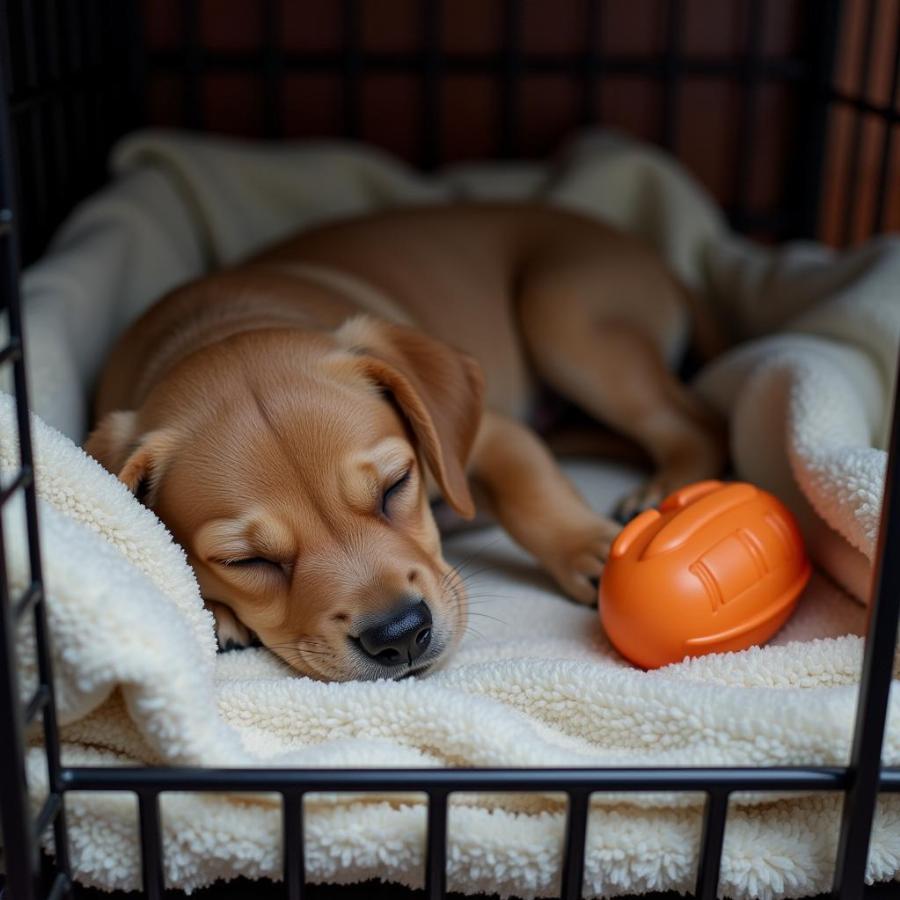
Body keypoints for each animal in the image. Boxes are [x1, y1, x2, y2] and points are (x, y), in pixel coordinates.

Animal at [86, 204, 724, 684]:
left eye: (396, 486)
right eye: (246, 561)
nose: (400, 636)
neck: (216, 325)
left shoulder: (489, 432)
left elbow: (531, 491)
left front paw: (594, 548)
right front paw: (216, 611)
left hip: (567, 314)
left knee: (692, 419)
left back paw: (667, 486)